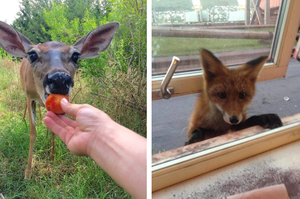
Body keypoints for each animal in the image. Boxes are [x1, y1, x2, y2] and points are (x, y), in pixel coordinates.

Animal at [0, 21, 119, 179]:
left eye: (75, 56)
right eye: (33, 55)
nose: (60, 79)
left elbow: (52, 129)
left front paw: (53, 157)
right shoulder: (30, 96)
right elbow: (33, 132)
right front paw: (28, 172)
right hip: (24, 91)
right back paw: (24, 119)